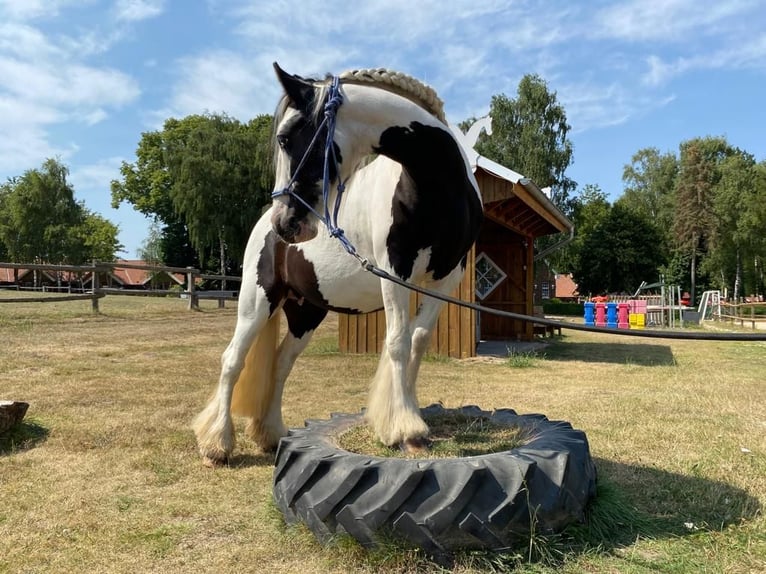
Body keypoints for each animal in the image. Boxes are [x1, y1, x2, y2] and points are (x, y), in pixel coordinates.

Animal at [196, 64, 486, 468]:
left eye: (285, 138)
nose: (285, 222)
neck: (438, 185)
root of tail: (262, 229)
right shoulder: (395, 272)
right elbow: (397, 343)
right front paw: (405, 431)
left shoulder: (447, 276)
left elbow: (417, 340)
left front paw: (408, 420)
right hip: (257, 302)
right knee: (232, 361)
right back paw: (216, 446)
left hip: (306, 313)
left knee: (280, 365)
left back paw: (270, 435)